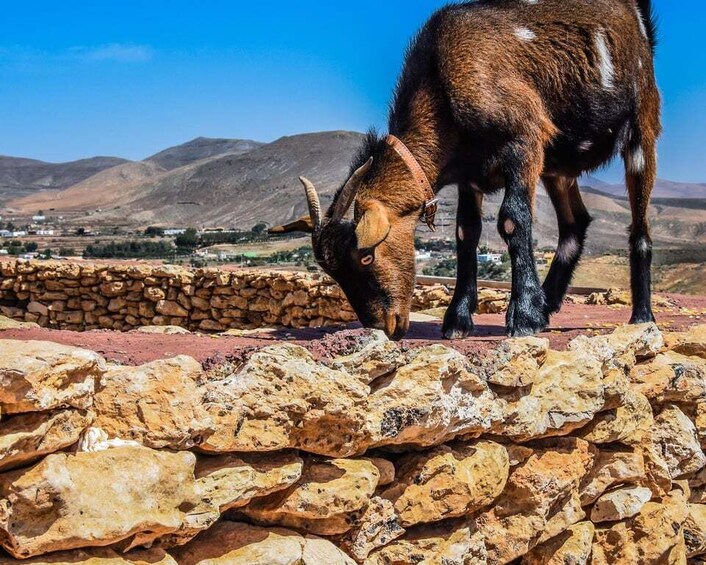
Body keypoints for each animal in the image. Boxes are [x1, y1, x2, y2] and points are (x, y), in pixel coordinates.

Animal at [270, 0, 660, 340]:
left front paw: (523, 317)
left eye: (366, 255)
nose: (384, 325)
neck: (441, 81)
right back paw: (547, 304)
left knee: (639, 225)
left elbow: (513, 219)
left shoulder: (525, 140)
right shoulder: (470, 177)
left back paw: (641, 316)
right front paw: (458, 319)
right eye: (332, 270)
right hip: (558, 166)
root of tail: (636, 16)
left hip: (642, 127)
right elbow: (465, 233)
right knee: (575, 224)